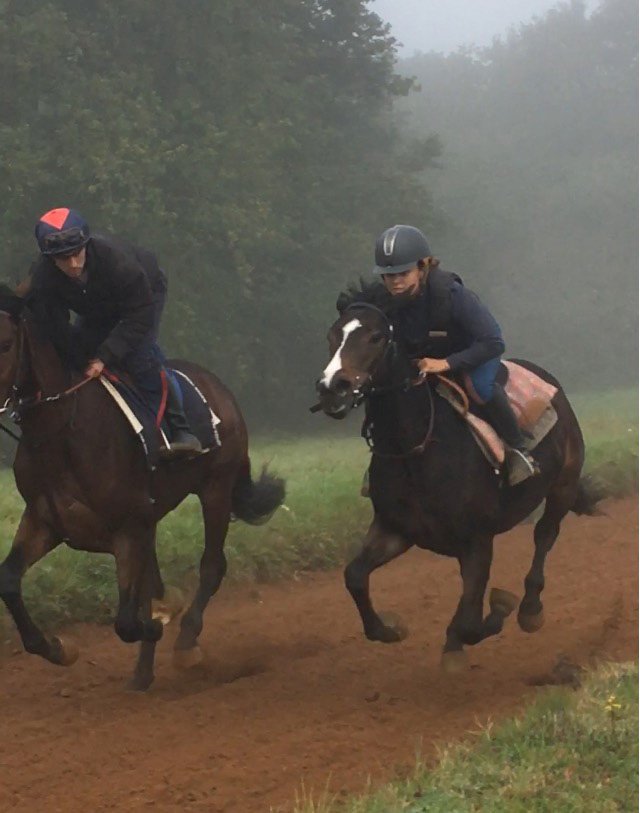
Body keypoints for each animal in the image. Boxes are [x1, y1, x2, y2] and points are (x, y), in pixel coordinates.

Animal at [0, 289, 284, 690]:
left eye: (7, 343)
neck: (61, 431)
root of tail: (220, 388)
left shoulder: (127, 528)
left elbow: (127, 620)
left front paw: (162, 622)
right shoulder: (47, 522)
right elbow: (9, 581)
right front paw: (58, 648)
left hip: (216, 486)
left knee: (212, 566)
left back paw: (186, 642)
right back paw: (143, 671)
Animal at [315, 282, 601, 672]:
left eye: (375, 336)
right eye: (332, 335)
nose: (332, 388)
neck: (416, 448)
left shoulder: (477, 540)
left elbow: (470, 621)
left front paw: (493, 614)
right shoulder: (397, 529)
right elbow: (355, 576)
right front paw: (391, 628)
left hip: (563, 485)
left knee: (545, 535)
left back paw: (530, 609)